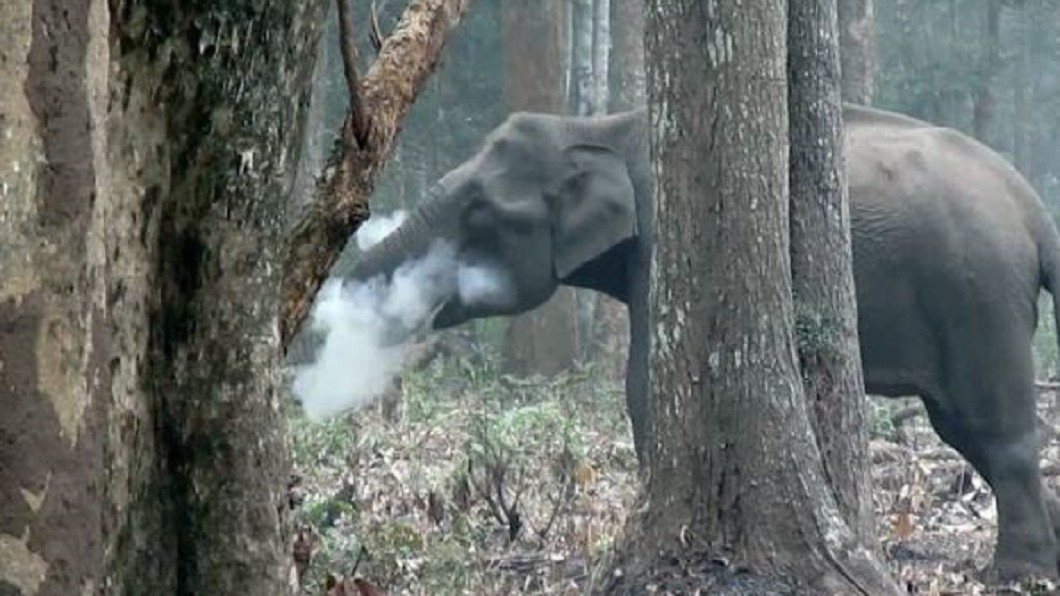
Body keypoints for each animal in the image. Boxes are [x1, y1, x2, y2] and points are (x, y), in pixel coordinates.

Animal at [347, 103, 1060, 582]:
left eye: (478, 210)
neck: (600, 126)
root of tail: (1033, 207)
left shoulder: (665, 242)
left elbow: (644, 382)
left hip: (977, 296)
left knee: (997, 430)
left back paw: (1015, 574)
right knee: (962, 429)